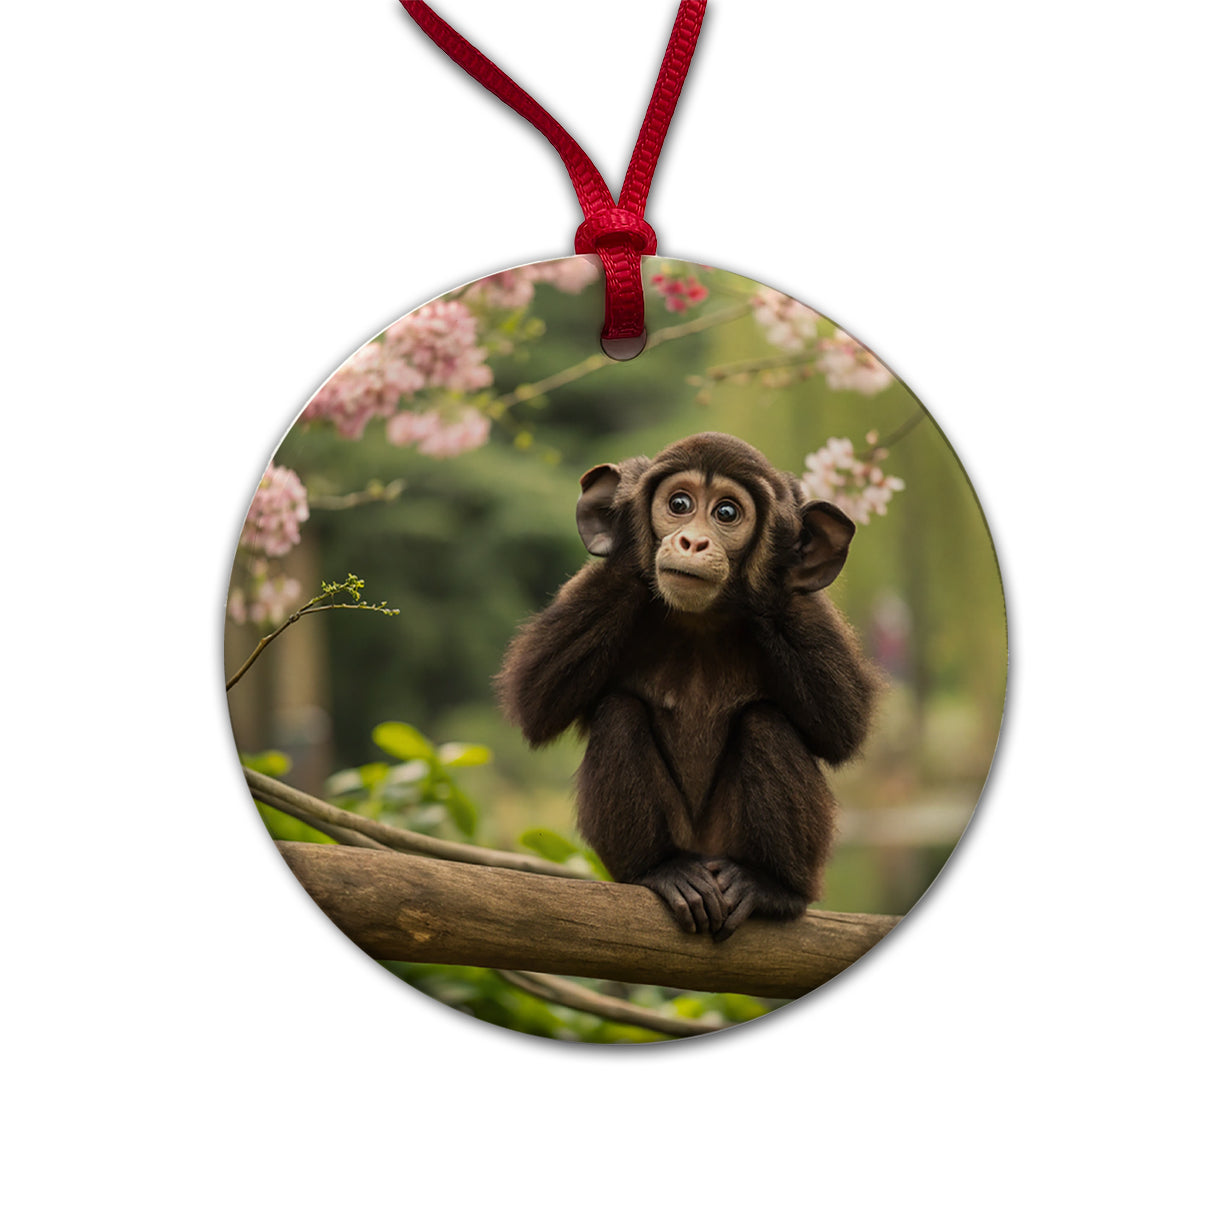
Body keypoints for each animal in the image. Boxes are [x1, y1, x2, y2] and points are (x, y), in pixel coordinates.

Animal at [496, 432, 879, 940]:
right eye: (679, 503)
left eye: (726, 513)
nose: (691, 540)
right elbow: (536, 699)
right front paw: (628, 540)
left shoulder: (808, 608)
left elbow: (844, 725)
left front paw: (769, 568)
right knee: (619, 713)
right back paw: (662, 870)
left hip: (730, 846)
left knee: (765, 724)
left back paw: (772, 888)